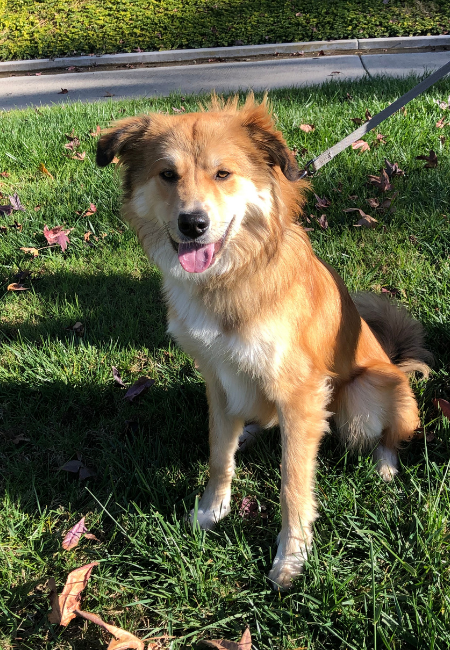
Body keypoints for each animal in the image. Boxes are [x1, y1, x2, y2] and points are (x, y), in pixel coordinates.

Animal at [96, 95, 430, 588]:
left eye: (222, 174)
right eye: (167, 174)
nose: (193, 224)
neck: (228, 277)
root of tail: (396, 361)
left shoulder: (301, 392)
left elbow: (293, 483)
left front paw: (292, 555)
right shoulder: (216, 378)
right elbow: (219, 451)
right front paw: (211, 510)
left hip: (365, 392)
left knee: (388, 433)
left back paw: (384, 467)